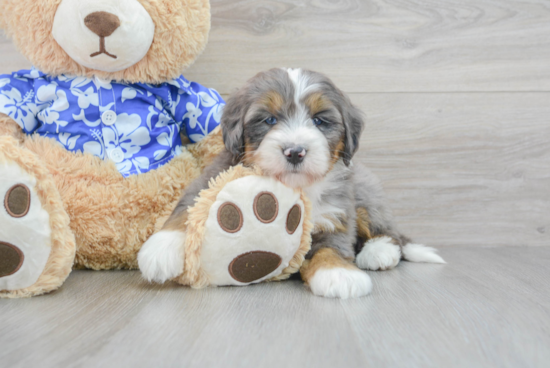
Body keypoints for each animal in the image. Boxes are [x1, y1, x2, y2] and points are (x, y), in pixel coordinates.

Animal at [140, 68, 446, 300]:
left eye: (320, 121)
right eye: (269, 119)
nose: (295, 151)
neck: (299, 187)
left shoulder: (337, 214)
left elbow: (331, 247)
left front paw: (338, 273)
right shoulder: (213, 174)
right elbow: (188, 206)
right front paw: (160, 250)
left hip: (367, 194)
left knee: (389, 232)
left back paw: (378, 252)